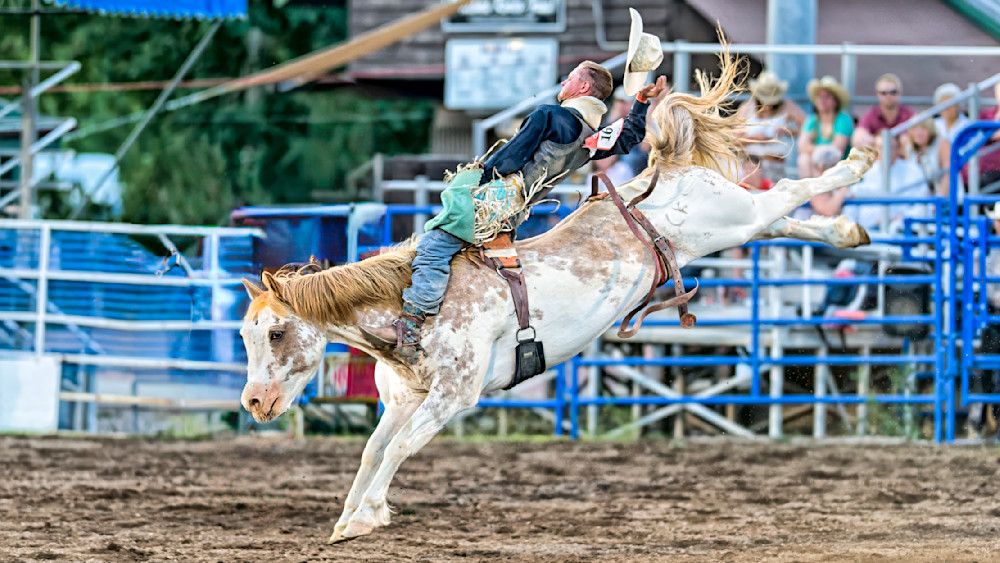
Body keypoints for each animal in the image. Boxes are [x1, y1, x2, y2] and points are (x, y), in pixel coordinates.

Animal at [238, 49, 877, 543]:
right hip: (733, 224)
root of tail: (666, 169)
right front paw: (348, 518)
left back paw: (856, 164)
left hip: (730, 217)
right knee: (784, 216)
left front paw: (368, 516)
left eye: (276, 331)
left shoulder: (451, 398)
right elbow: (374, 451)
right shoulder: (402, 400)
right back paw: (848, 230)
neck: (408, 308)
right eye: (244, 335)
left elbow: (398, 452)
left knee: (788, 190)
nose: (253, 403)